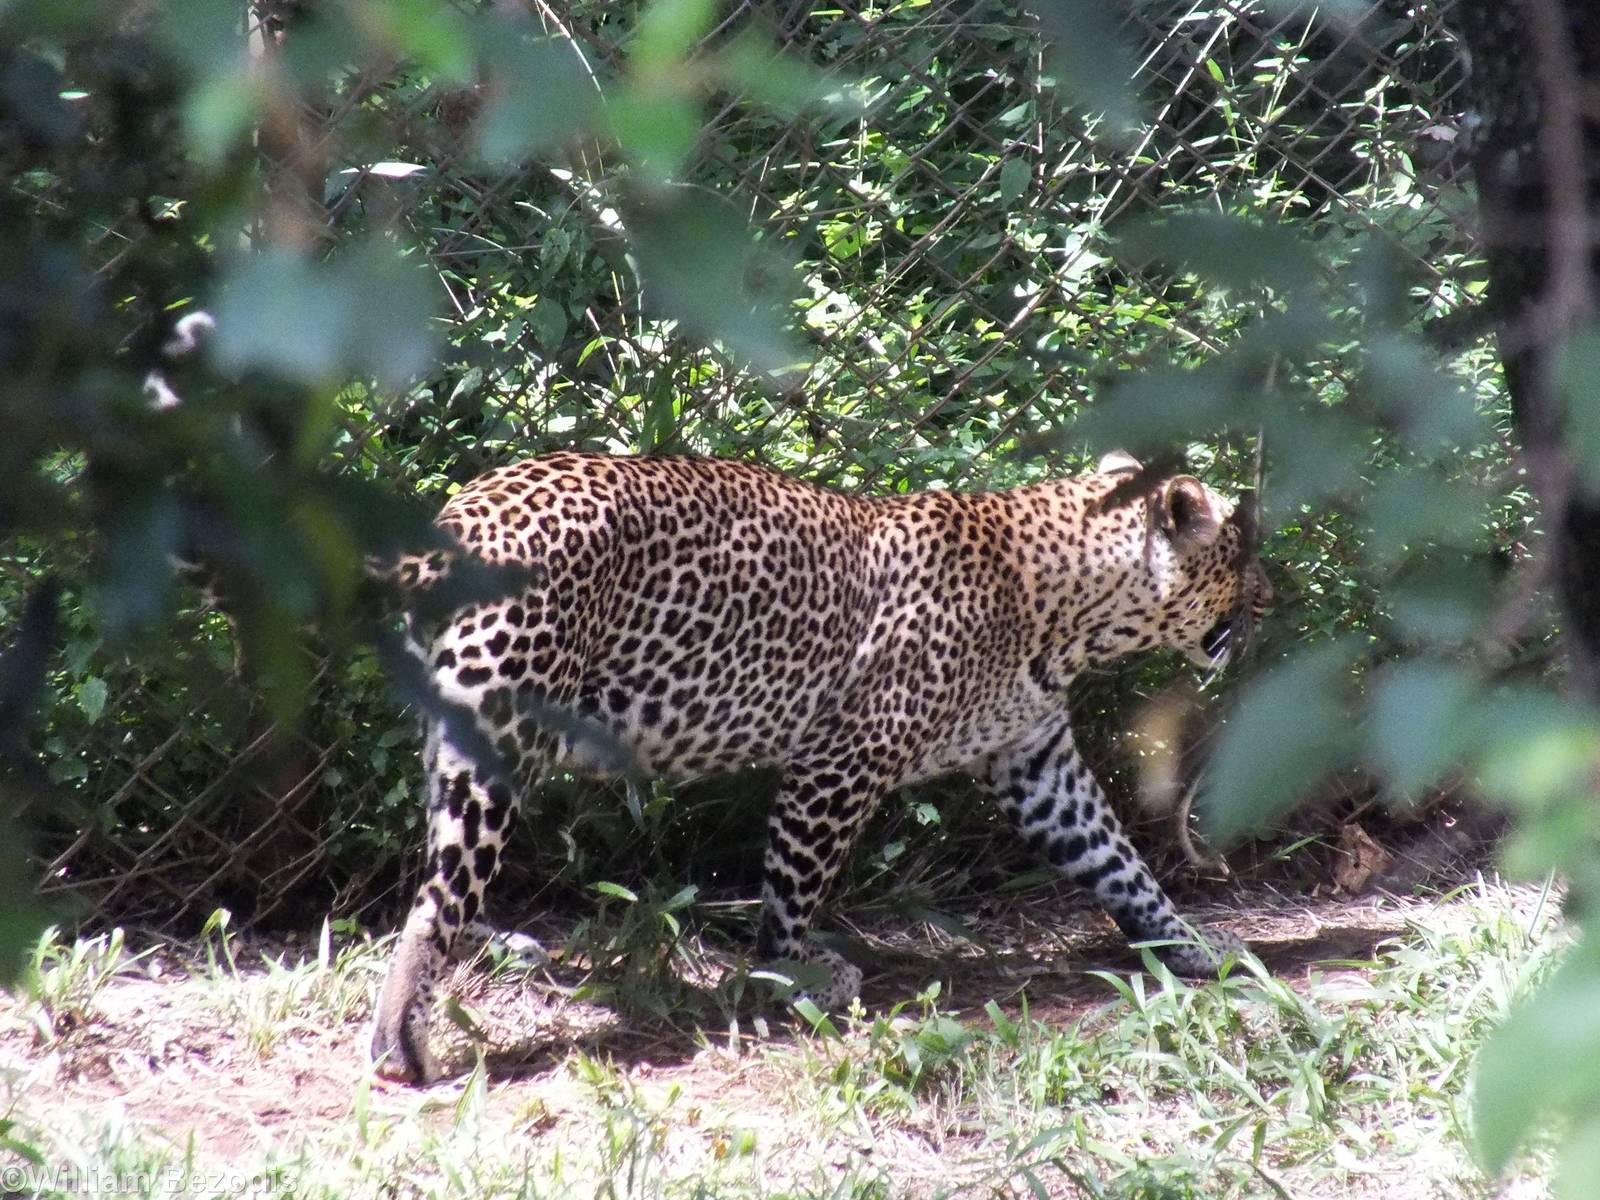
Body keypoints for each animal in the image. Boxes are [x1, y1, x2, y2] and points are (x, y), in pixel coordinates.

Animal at [369, 449, 1271, 1083]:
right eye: (1240, 555)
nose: (1272, 598)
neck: (1075, 613)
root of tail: (457, 516)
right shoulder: (843, 760)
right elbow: (795, 884)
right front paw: (789, 971)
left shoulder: (1035, 761)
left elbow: (1120, 865)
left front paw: (1193, 946)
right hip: (503, 727)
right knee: (439, 892)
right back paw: (400, 1041)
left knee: (440, 869)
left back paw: (493, 946)